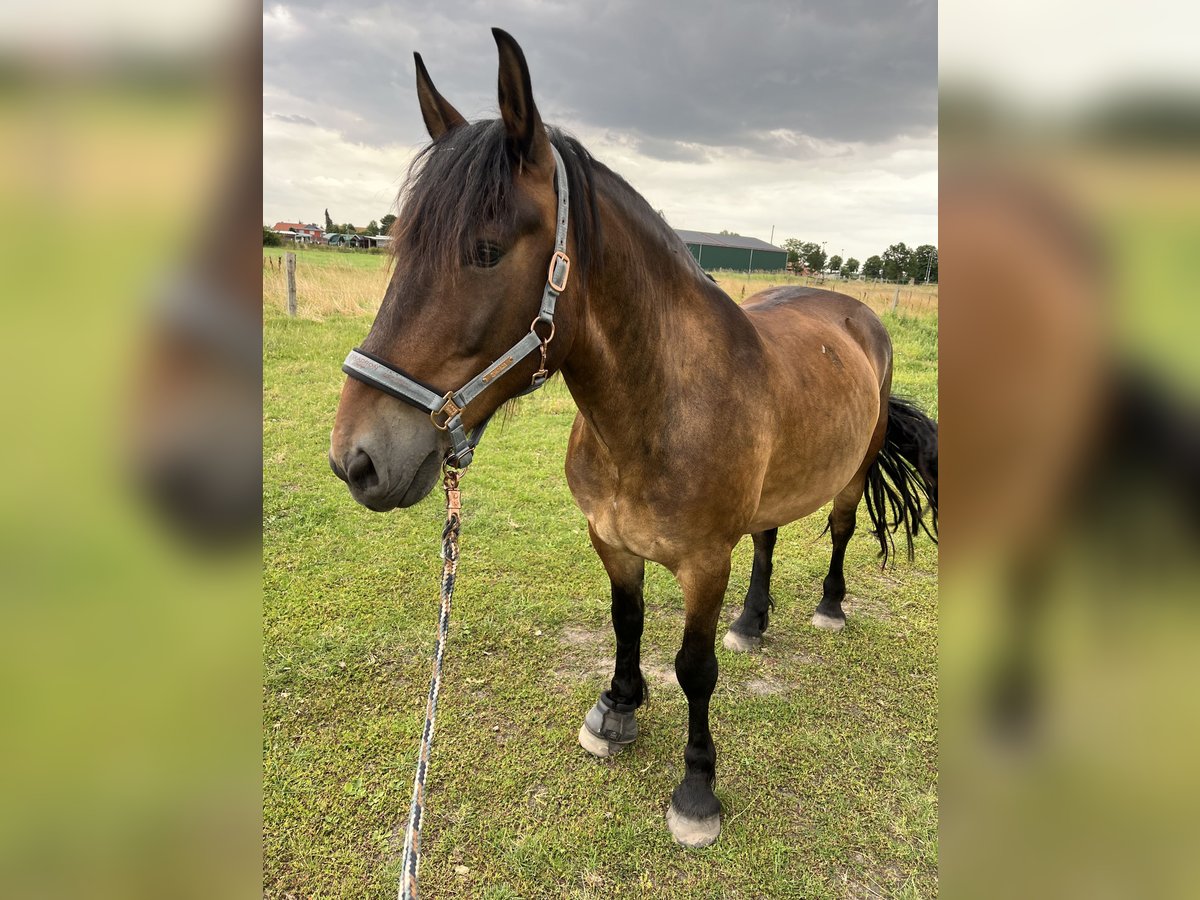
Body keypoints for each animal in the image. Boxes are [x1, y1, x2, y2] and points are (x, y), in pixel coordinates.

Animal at [331, 26, 936, 844]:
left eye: (485, 250)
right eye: (395, 246)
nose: (357, 459)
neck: (656, 414)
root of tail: (855, 312)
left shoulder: (705, 562)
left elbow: (694, 668)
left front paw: (697, 790)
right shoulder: (611, 540)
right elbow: (627, 622)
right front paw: (617, 710)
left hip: (851, 471)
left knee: (838, 531)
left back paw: (829, 607)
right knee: (769, 535)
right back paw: (753, 621)